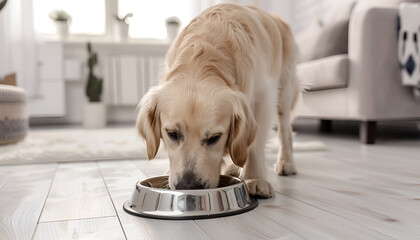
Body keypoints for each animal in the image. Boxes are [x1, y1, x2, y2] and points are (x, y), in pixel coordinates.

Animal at [136, 3, 300, 198]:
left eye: (215, 137)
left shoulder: (264, 97)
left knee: (284, 129)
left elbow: (255, 144)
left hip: (285, 88)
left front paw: (255, 178)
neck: (201, 59)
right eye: (172, 134)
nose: (188, 186)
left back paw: (286, 162)